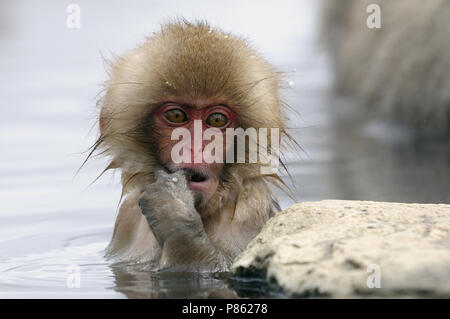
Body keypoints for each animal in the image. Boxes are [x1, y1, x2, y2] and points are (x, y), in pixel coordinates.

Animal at [93, 21, 294, 274]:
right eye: (176, 115)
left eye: (216, 120)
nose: (195, 149)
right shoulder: (127, 217)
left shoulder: (249, 214)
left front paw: (174, 211)